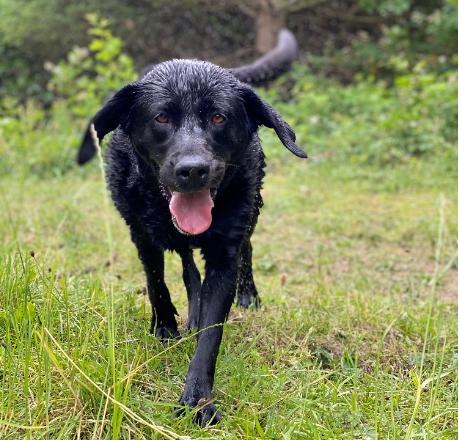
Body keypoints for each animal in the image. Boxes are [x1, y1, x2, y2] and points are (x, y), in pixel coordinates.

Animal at [81, 31, 308, 426]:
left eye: (219, 117)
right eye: (161, 117)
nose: (192, 170)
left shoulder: (224, 255)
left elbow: (211, 336)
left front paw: (198, 400)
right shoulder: (141, 234)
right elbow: (156, 283)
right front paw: (165, 326)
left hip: (250, 214)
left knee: (245, 250)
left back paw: (246, 296)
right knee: (187, 269)